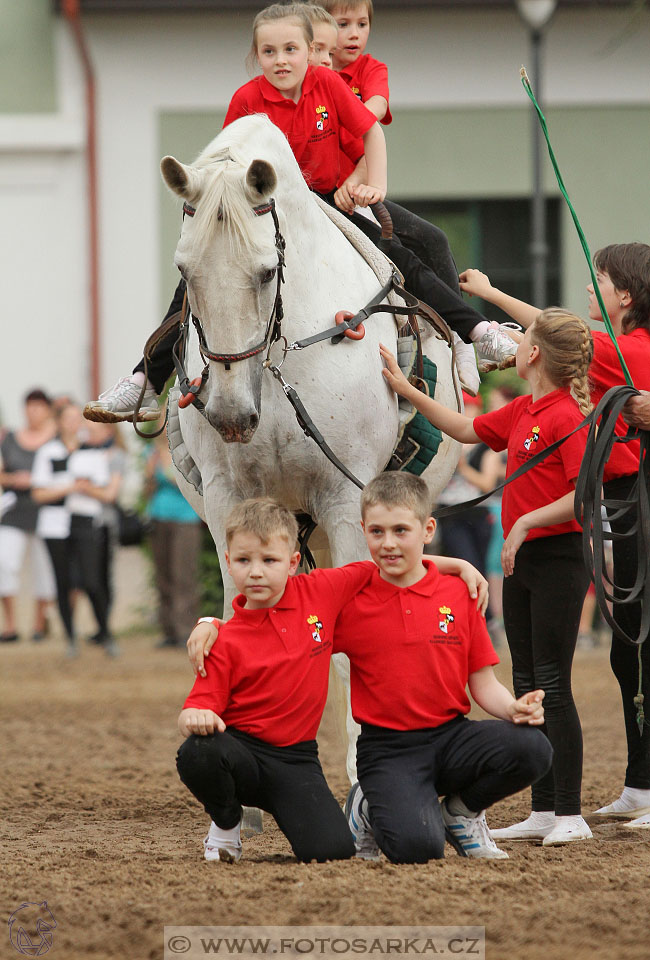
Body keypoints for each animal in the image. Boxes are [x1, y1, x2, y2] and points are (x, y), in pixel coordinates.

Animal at [161, 114, 464, 780]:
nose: (229, 414)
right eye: (186, 273)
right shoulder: (229, 505)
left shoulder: (346, 502)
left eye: (265, 271)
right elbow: (235, 623)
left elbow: (355, 649)